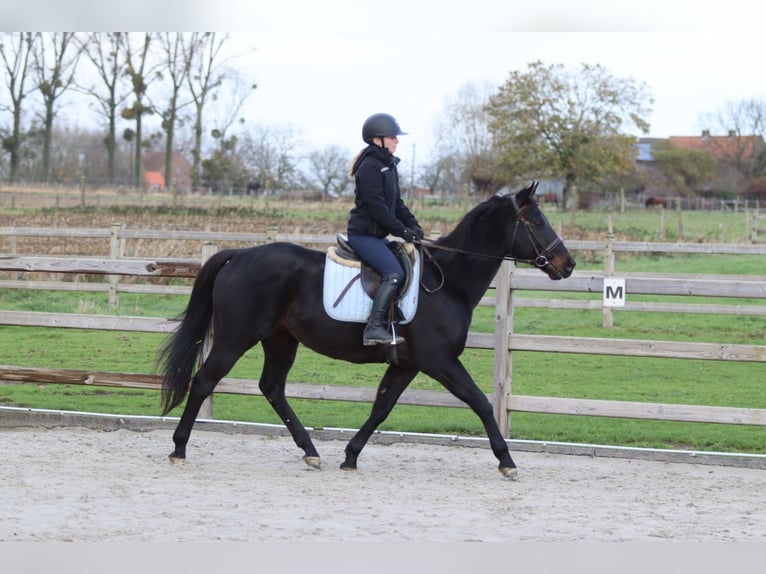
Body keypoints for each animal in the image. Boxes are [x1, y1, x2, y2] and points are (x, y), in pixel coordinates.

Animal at [158, 181, 576, 478]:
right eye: (538, 222)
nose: (567, 264)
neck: (448, 281)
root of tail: (239, 254)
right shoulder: (439, 361)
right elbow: (481, 402)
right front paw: (507, 461)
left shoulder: (407, 364)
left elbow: (381, 407)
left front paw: (350, 455)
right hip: (236, 337)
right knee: (205, 380)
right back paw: (178, 449)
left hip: (281, 340)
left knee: (272, 388)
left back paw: (311, 452)